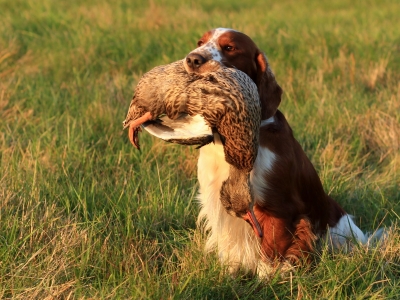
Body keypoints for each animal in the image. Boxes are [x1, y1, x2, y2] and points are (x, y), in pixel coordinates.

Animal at [184, 28, 378, 276]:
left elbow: (269, 255)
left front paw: (267, 280)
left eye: (230, 47)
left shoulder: (277, 206)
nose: (193, 59)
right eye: (200, 42)